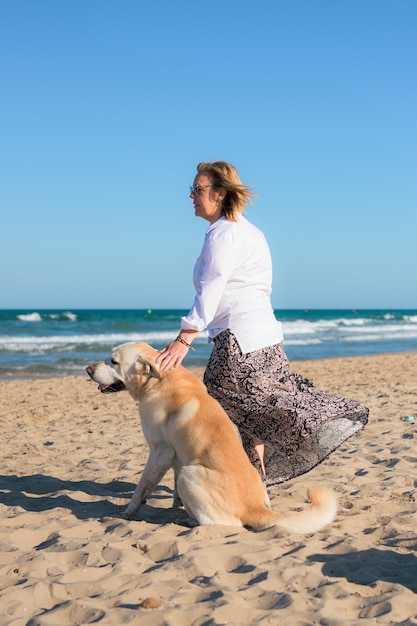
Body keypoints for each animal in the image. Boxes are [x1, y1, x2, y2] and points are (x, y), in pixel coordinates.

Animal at [86, 342, 336, 532]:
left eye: (113, 361)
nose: (88, 369)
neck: (158, 380)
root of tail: (253, 508)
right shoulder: (176, 455)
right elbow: (172, 487)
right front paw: (176, 505)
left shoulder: (159, 452)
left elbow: (141, 489)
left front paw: (127, 513)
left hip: (190, 473)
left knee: (221, 523)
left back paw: (189, 520)